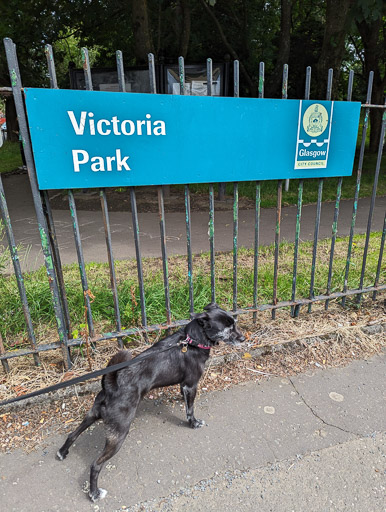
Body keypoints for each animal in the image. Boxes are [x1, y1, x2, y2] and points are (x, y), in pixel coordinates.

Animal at [57, 304, 244, 500]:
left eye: (234, 324)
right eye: (227, 329)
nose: (243, 338)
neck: (192, 340)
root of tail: (111, 385)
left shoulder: (184, 385)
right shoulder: (191, 385)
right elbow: (190, 409)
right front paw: (193, 423)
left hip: (92, 414)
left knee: (72, 434)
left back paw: (62, 452)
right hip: (119, 433)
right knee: (96, 464)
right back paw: (94, 493)